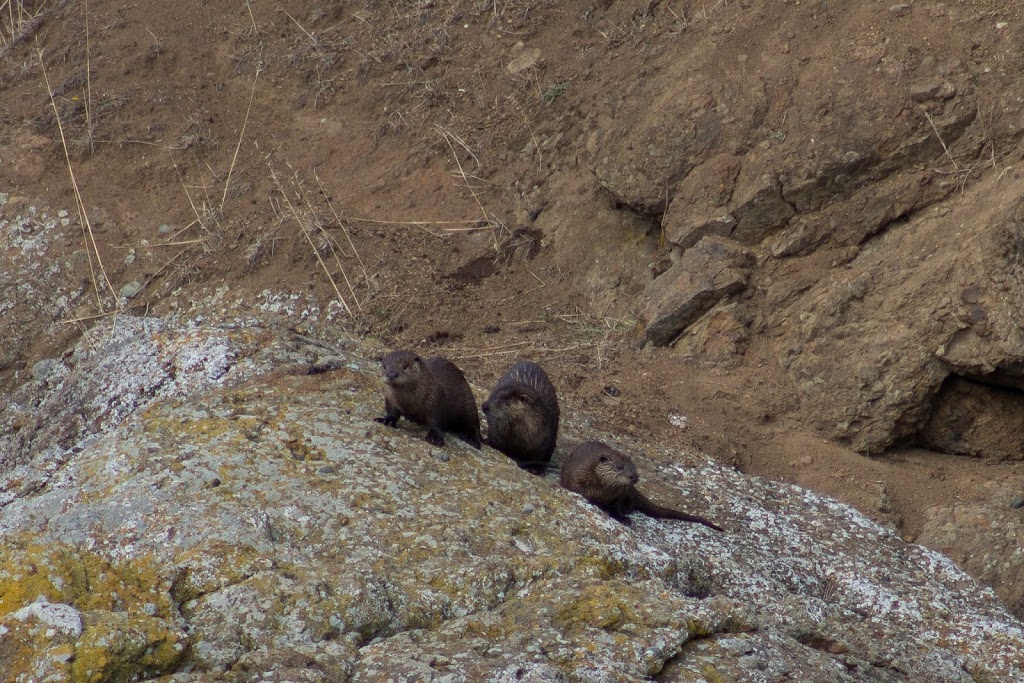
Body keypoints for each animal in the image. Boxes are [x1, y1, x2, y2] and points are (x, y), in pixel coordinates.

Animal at [561, 440, 720, 532]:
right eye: (619, 467)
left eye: (634, 467)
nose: (634, 476)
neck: (601, 490)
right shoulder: (575, 477)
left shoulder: (619, 495)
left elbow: (616, 507)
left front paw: (623, 519)